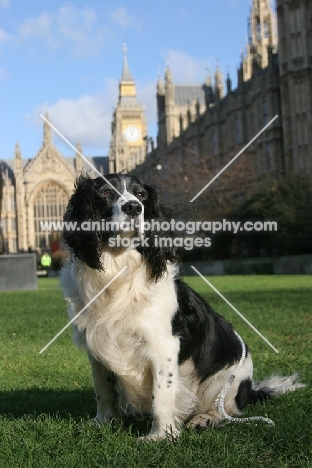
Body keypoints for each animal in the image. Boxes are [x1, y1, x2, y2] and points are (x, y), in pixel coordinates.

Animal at [60, 173, 304, 438]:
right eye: (105, 192)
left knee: (227, 410)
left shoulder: (163, 345)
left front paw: (161, 435)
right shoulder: (97, 344)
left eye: (141, 195)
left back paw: (205, 419)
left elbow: (161, 395)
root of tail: (250, 389)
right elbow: (103, 390)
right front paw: (104, 421)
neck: (119, 272)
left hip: (226, 379)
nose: (134, 207)